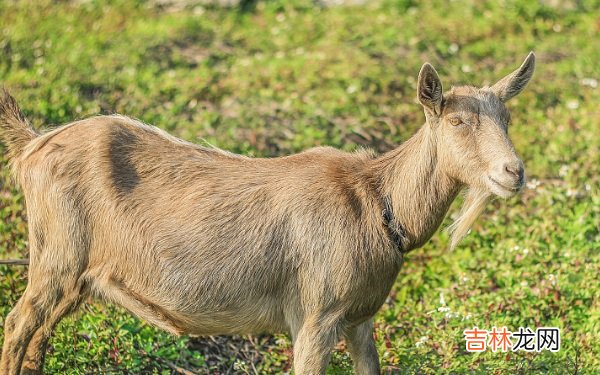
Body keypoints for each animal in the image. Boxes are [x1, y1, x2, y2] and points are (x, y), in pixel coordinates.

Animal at [0, 53, 536, 375]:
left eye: (508, 118)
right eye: (458, 120)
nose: (514, 172)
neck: (377, 202)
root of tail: (31, 146)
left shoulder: (360, 318)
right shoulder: (316, 315)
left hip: (78, 274)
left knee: (40, 333)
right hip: (56, 255)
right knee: (19, 323)